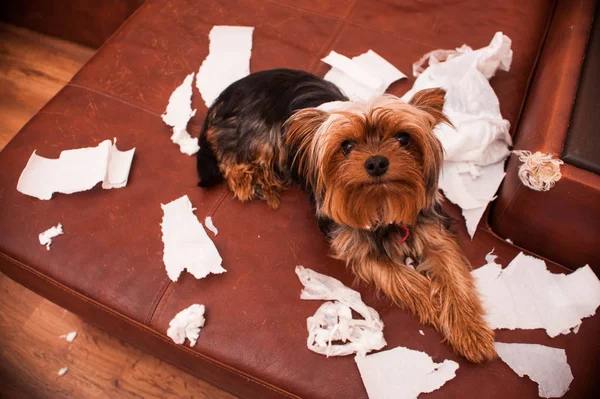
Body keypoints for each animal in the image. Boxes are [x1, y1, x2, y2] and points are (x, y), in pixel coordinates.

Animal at [197, 68, 496, 362]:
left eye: (403, 138)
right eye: (347, 146)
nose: (376, 162)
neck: (382, 202)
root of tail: (228, 93)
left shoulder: (435, 233)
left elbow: (454, 277)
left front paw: (470, 332)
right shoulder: (358, 248)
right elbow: (403, 278)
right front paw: (433, 303)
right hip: (261, 137)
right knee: (229, 153)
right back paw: (248, 181)